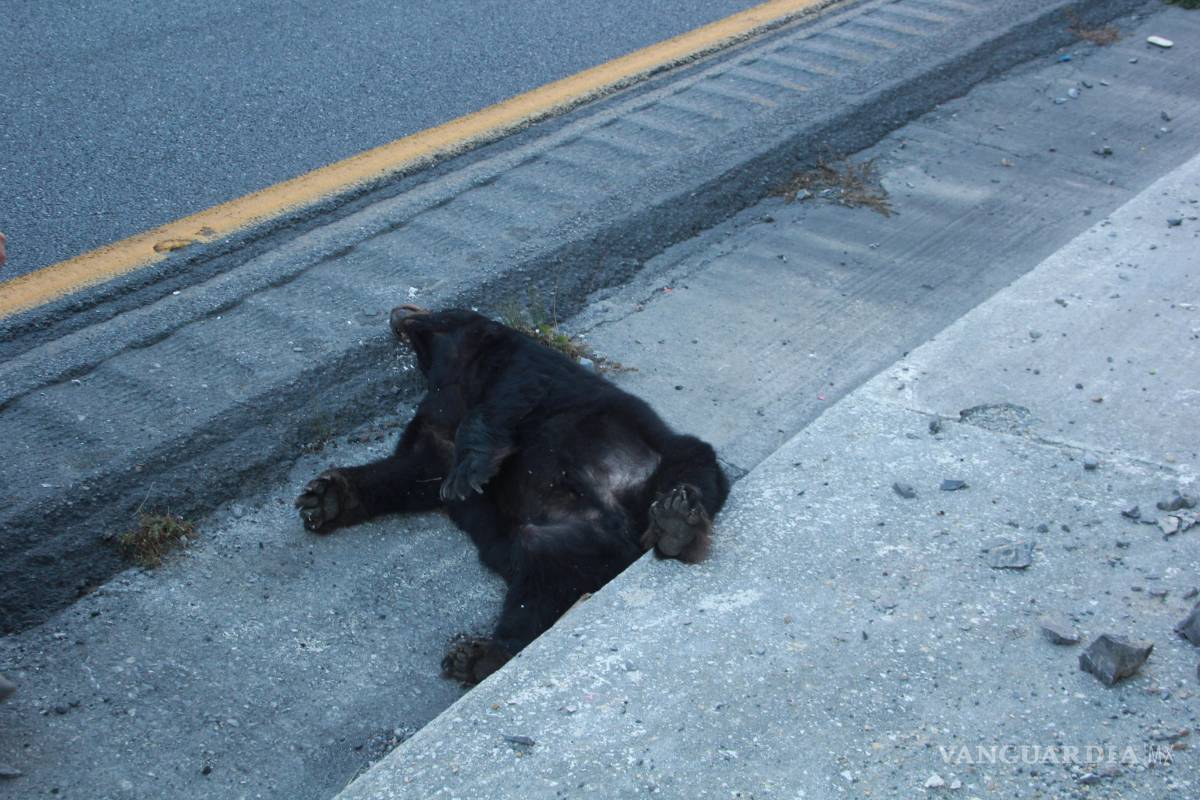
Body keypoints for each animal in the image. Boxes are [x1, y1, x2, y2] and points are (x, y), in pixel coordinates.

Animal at [295, 305, 728, 684]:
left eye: (437, 313)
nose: (398, 315)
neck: (450, 370)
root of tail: (629, 534)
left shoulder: (519, 361)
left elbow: (508, 394)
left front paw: (469, 470)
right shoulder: (434, 434)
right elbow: (411, 472)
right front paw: (324, 498)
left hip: (661, 454)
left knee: (694, 469)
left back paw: (677, 519)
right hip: (559, 545)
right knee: (539, 591)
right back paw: (481, 655)